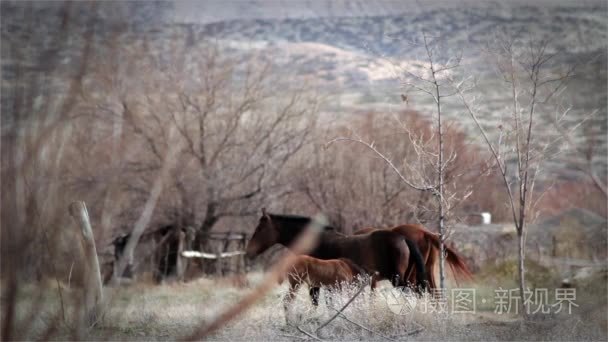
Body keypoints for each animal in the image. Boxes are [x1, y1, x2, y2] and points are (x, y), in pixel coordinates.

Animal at [245, 208, 430, 302]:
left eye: (260, 228)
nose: (249, 252)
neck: (316, 241)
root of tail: (403, 238)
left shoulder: (316, 284)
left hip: (398, 280)